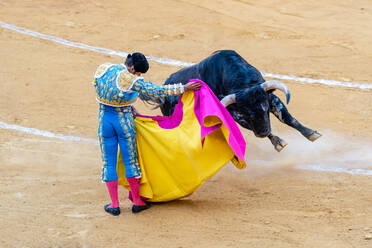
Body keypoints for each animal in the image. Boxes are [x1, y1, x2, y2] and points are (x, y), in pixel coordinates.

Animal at [158, 50, 322, 151]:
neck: (243, 84)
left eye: (265, 108)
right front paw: (278, 142)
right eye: (246, 114)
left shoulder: (271, 98)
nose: (262, 133)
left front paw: (311, 133)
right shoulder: (235, 114)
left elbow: (288, 119)